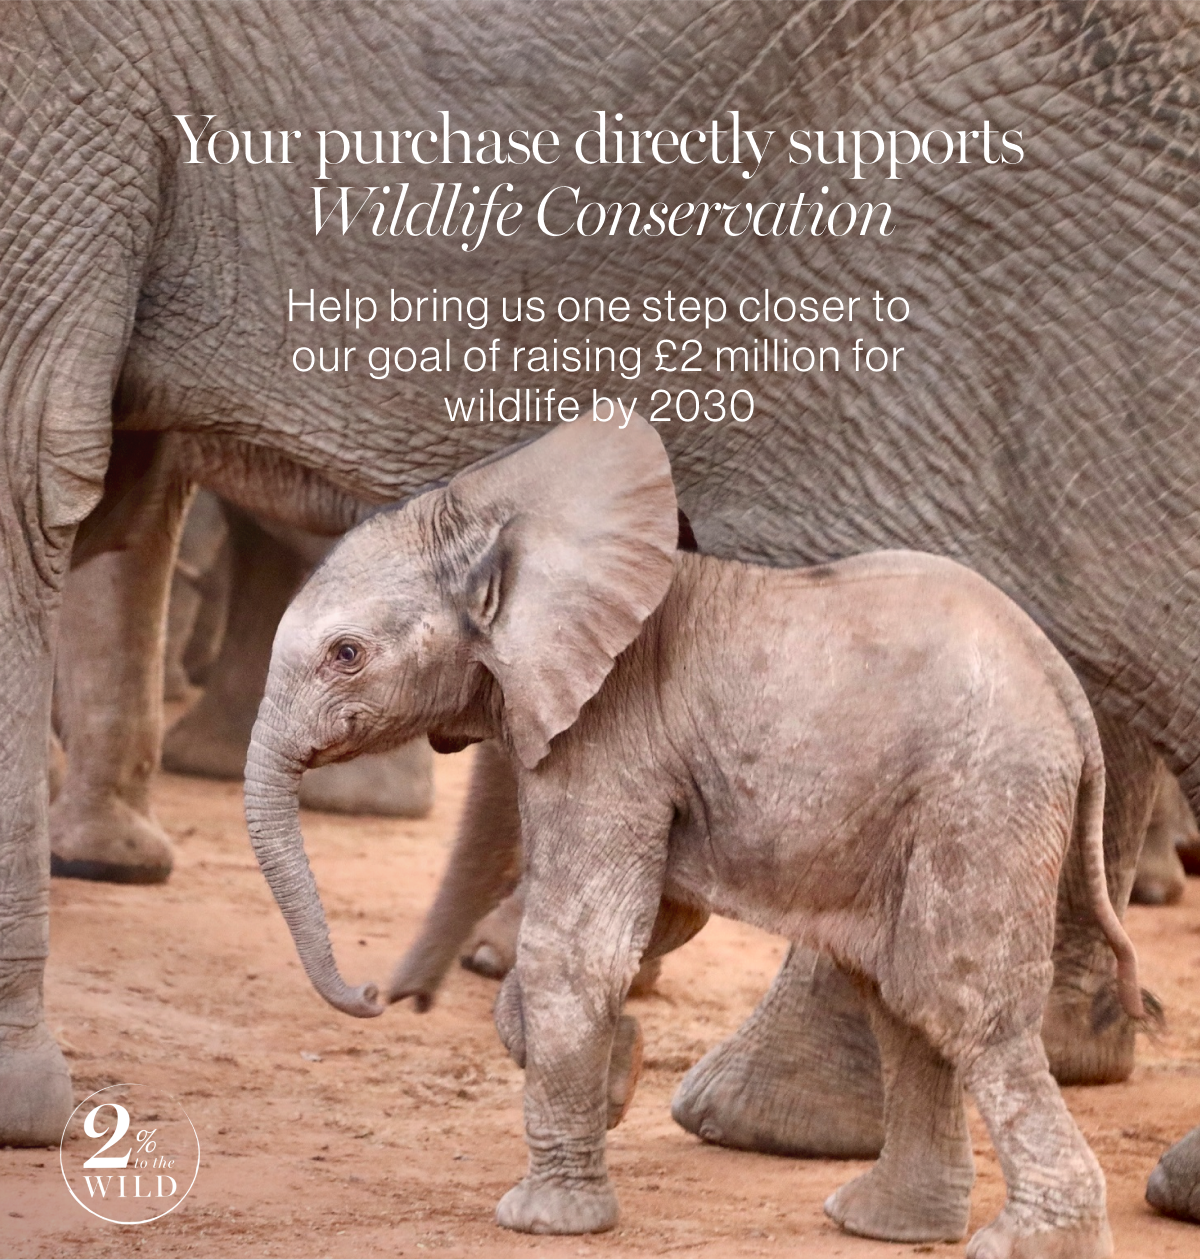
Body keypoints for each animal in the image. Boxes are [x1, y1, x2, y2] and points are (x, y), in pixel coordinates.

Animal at [243, 415, 1147, 1253]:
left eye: (347, 655)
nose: (376, 996)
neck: (501, 507)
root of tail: (1065, 691)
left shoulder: (609, 736)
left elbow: (578, 948)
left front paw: (546, 1218)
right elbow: (658, 921)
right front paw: (617, 1075)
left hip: (983, 796)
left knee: (955, 997)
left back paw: (1026, 1244)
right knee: (900, 996)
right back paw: (881, 1225)